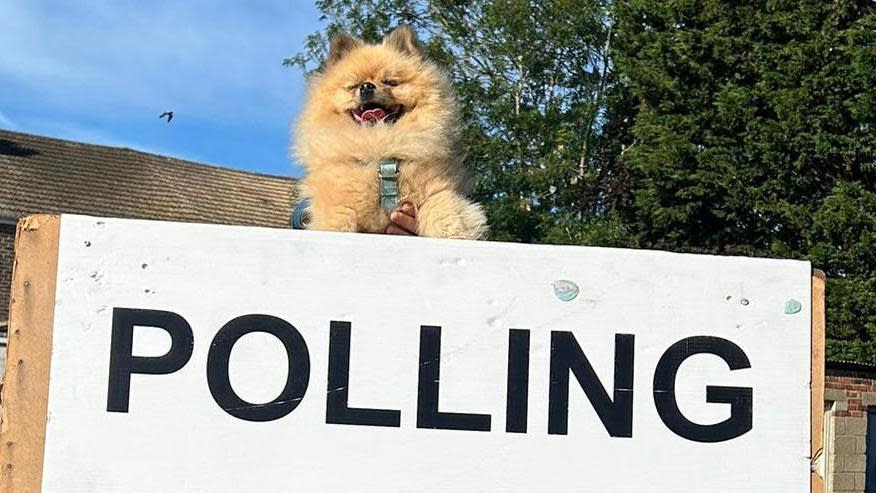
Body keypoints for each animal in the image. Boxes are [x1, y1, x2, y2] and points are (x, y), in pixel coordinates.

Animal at [292, 26, 486, 238]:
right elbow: (337, 224)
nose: (367, 86)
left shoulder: (437, 192)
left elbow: (446, 218)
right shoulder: (338, 205)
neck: (380, 147)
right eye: (353, 86)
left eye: (390, 82)